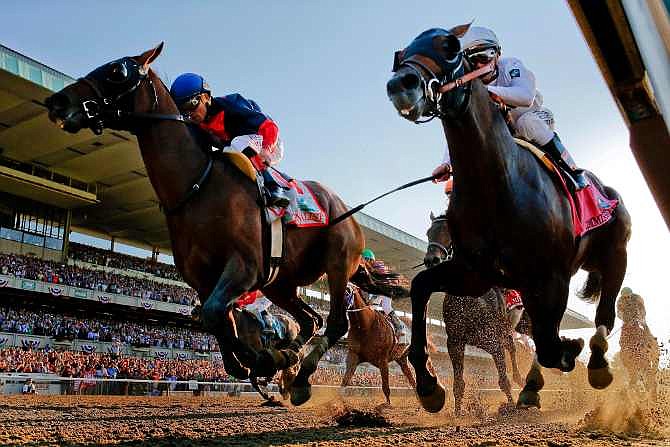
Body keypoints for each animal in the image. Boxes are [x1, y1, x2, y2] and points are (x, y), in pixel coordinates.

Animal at [46, 43, 384, 408]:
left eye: (117, 71)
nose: (57, 102)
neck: (198, 186)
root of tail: (347, 210)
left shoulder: (245, 266)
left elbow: (216, 316)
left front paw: (264, 360)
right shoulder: (205, 280)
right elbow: (217, 319)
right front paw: (263, 361)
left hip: (337, 262)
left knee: (335, 324)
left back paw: (301, 375)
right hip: (280, 283)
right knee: (311, 320)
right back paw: (292, 362)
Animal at [428, 215, 528, 414]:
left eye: (448, 230)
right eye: (429, 233)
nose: (431, 260)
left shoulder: (493, 341)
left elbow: (503, 380)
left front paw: (512, 410)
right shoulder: (455, 343)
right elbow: (458, 383)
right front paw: (457, 413)